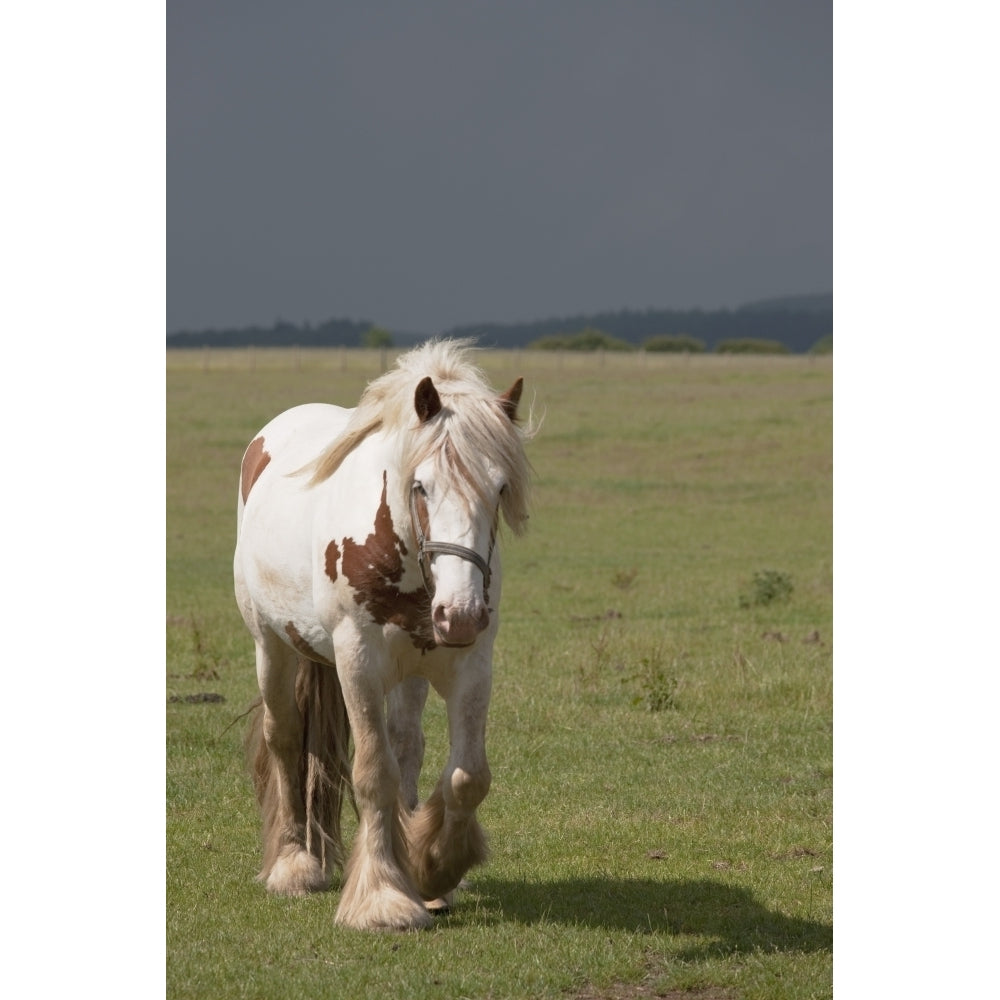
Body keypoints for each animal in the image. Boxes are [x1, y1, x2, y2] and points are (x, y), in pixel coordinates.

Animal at [232, 342, 532, 928]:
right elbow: (374, 773)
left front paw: (434, 867)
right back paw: (294, 864)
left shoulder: (470, 663)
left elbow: (466, 775)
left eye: (500, 486)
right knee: (286, 735)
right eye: (421, 485)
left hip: (409, 671)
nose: (460, 614)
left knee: (407, 745)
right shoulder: (358, 661)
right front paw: (382, 898)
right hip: (271, 647)